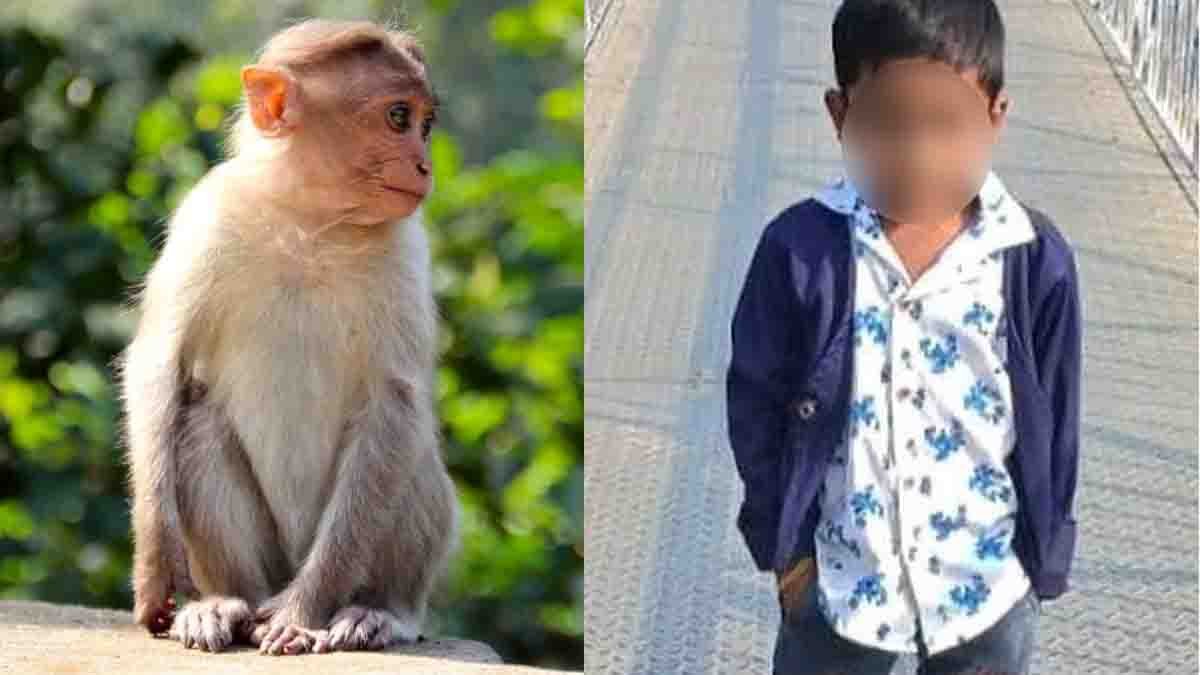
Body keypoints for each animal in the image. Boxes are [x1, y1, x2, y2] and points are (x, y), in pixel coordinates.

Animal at [115, 18, 460, 656]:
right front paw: (155, 562)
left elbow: (394, 400)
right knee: (196, 419)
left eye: (426, 126)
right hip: (269, 554)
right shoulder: (206, 216)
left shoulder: (407, 248)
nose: (425, 166)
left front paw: (304, 611)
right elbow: (159, 361)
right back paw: (227, 604)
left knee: (406, 445)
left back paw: (375, 611)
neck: (311, 220)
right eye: (399, 117)